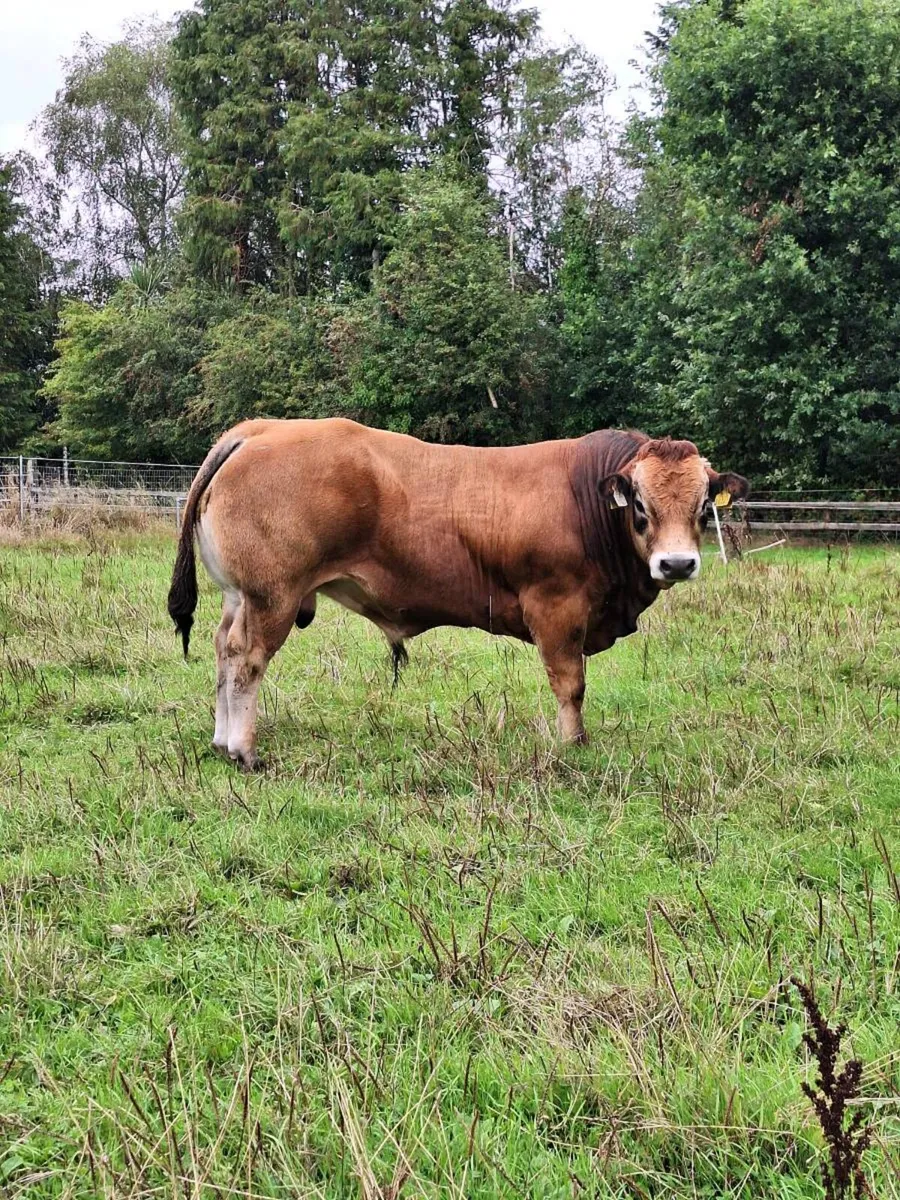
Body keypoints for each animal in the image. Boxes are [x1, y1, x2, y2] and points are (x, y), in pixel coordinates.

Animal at [168, 419, 749, 769]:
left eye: (703, 506)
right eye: (641, 507)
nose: (677, 563)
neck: (584, 499)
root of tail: (260, 428)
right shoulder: (557, 607)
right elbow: (570, 685)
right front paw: (572, 745)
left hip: (238, 596)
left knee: (223, 652)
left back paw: (221, 740)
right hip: (272, 596)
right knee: (247, 661)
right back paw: (243, 749)